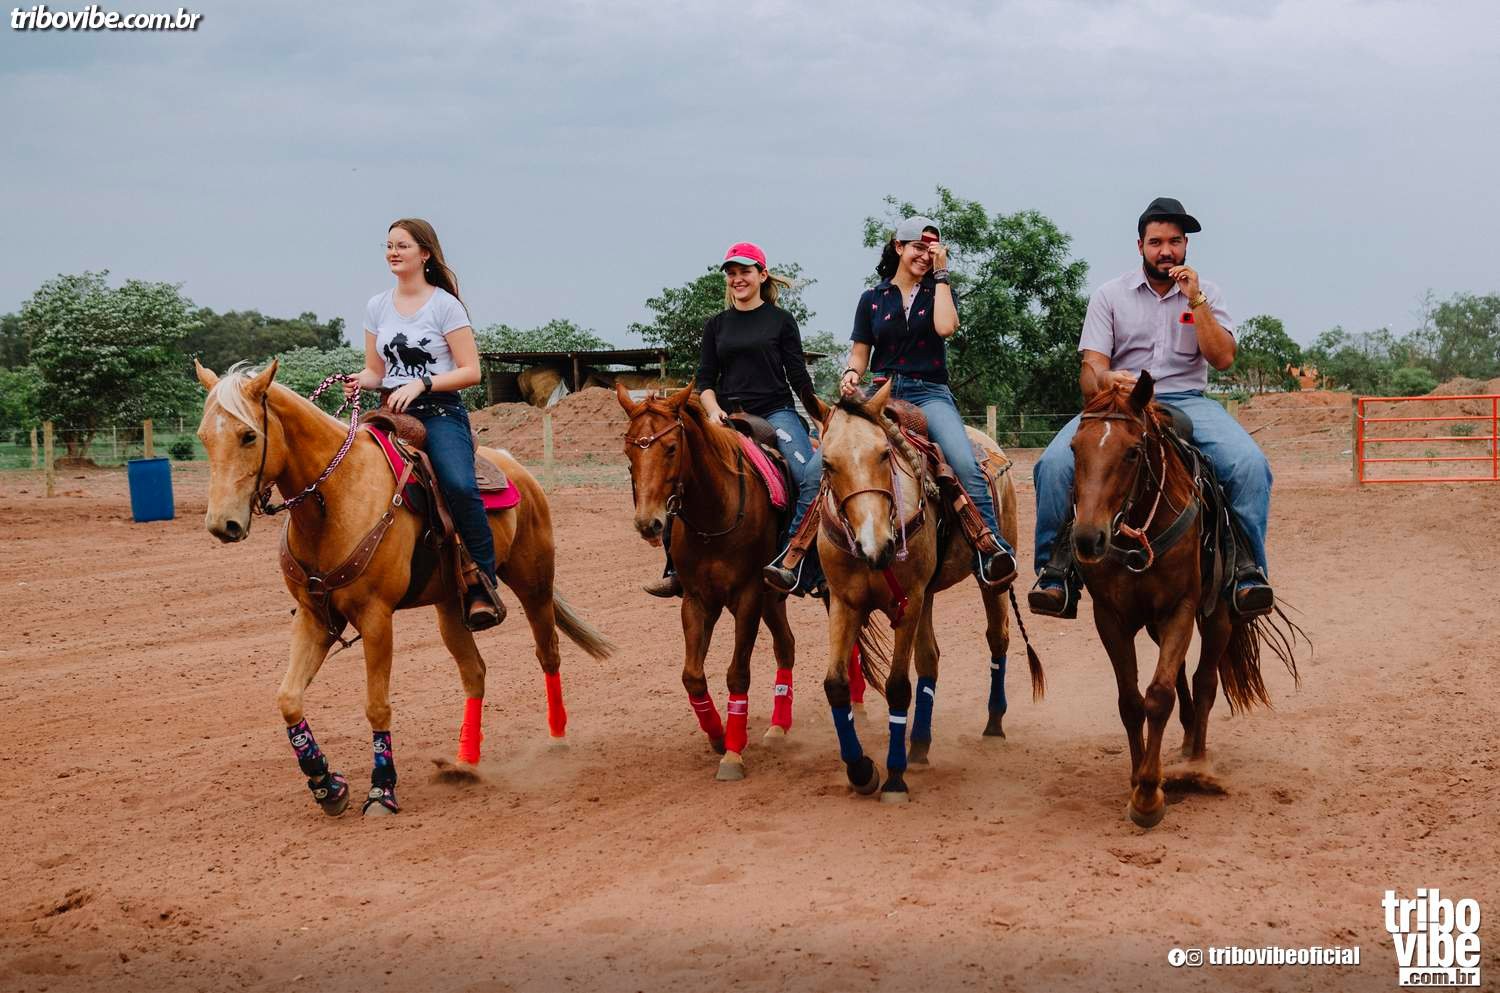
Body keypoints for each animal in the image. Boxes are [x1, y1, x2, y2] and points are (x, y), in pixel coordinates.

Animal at [195, 360, 613, 817]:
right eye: (204, 437)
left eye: (248, 435)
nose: (222, 525)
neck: (334, 499)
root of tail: (512, 463)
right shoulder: (313, 616)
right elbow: (288, 698)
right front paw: (326, 785)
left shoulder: (376, 617)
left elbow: (377, 705)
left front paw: (382, 790)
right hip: (452, 607)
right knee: (475, 673)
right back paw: (464, 763)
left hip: (534, 582)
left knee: (547, 653)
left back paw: (556, 740)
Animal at [616, 382, 799, 782]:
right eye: (628, 450)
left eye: (671, 448)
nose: (648, 523)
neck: (716, 513)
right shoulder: (697, 600)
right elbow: (693, 676)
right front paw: (717, 735)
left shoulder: (747, 597)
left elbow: (737, 675)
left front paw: (732, 754)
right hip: (771, 599)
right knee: (787, 645)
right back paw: (778, 728)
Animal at [810, 380, 1044, 803]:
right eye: (827, 464)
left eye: (885, 454)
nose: (876, 544)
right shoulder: (844, 601)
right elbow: (836, 684)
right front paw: (861, 770)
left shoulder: (910, 601)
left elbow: (898, 687)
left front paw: (894, 777)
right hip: (928, 596)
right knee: (930, 659)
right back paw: (919, 743)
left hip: (990, 578)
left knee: (997, 639)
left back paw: (993, 724)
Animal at [1071, 372, 1300, 828]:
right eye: (1074, 448)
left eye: (1132, 452)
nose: (1088, 539)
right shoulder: (1110, 617)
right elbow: (1131, 701)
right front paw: (1140, 777)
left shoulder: (1181, 608)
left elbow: (1159, 695)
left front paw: (1148, 796)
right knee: (1179, 679)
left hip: (1218, 617)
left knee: (1203, 681)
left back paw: (1196, 760)